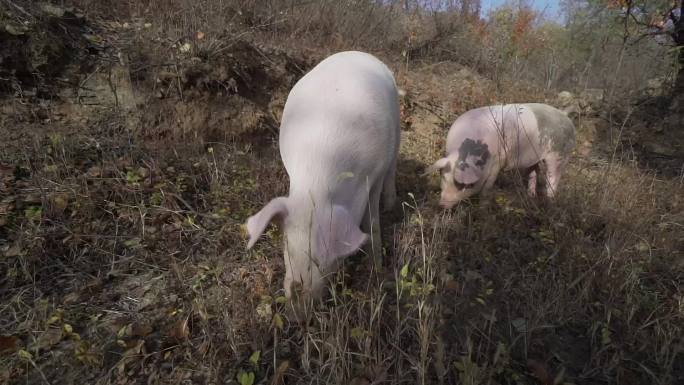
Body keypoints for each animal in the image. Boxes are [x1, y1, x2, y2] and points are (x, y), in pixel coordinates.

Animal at [430, 102, 576, 207]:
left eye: (463, 185)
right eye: (444, 177)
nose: (442, 205)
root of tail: (565, 115)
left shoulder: (497, 163)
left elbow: (487, 188)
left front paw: (483, 206)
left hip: (559, 155)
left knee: (553, 178)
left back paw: (549, 202)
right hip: (534, 158)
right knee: (533, 173)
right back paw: (530, 196)